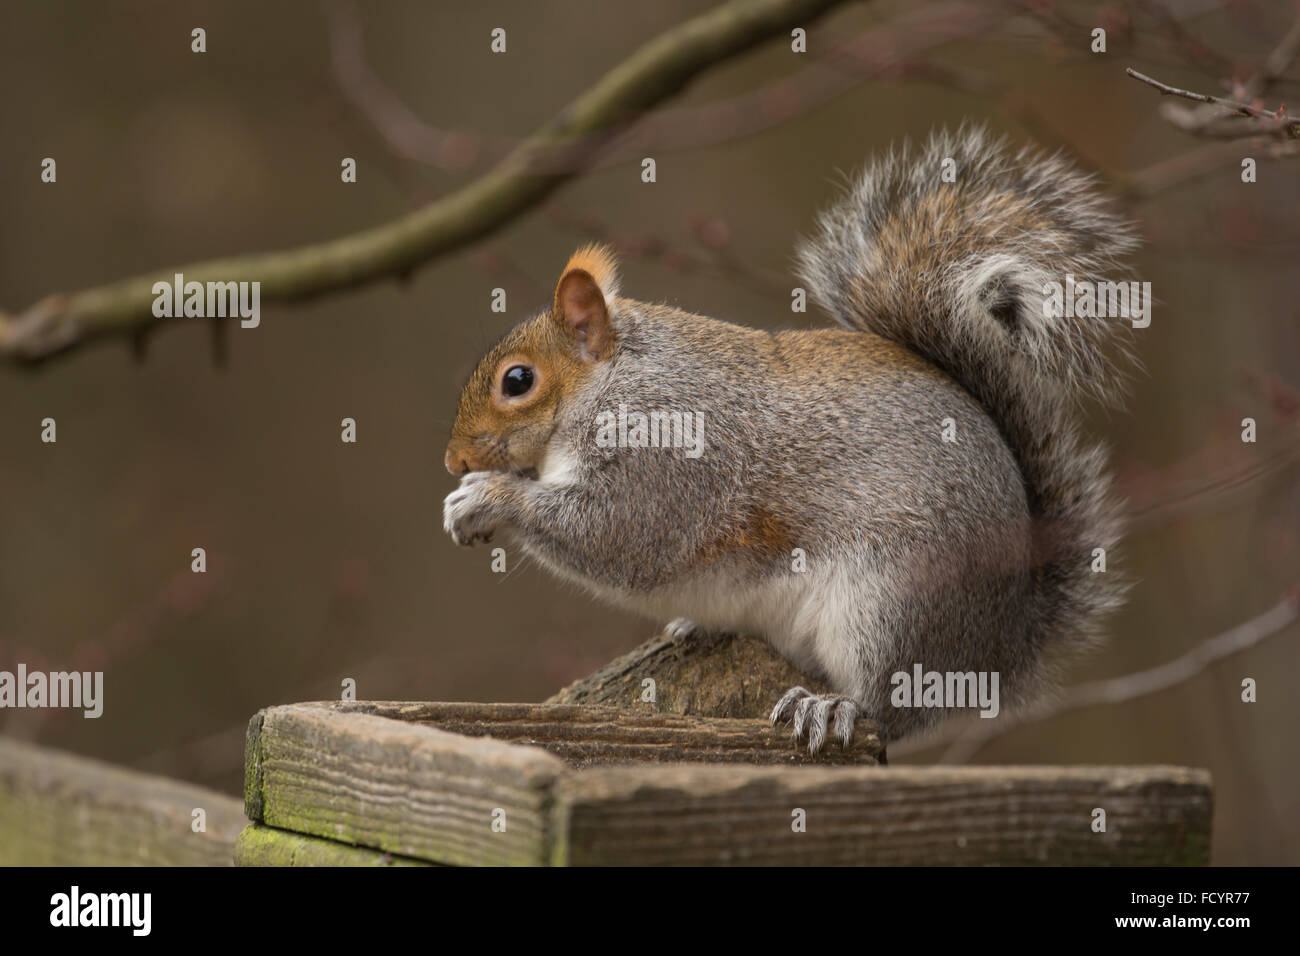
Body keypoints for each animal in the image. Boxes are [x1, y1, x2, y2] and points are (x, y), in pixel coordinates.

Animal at [443, 126, 1138, 752]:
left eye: (518, 381)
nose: (454, 460)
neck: (611, 382)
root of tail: (1003, 648)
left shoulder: (669, 452)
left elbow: (619, 533)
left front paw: (487, 499)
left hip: (892, 601)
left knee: (896, 710)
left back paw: (835, 706)